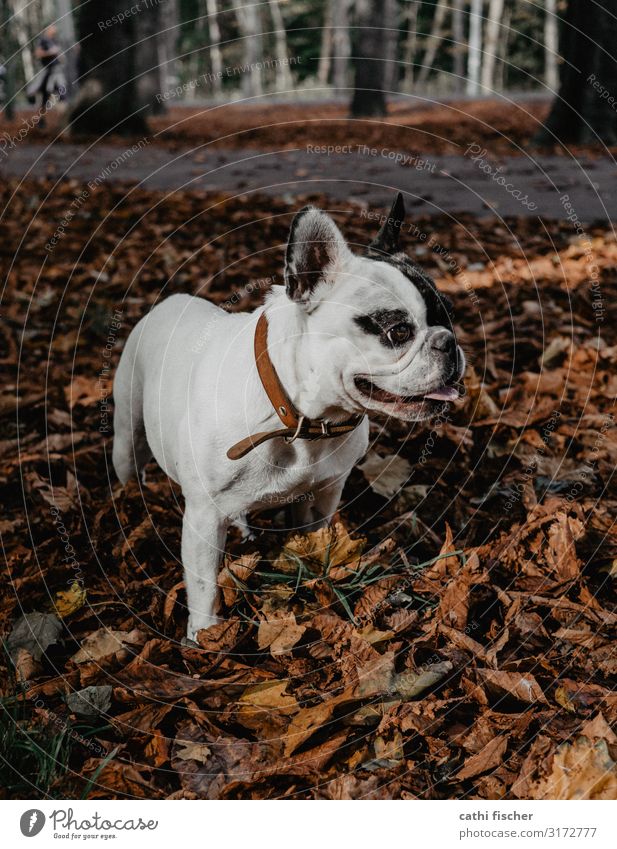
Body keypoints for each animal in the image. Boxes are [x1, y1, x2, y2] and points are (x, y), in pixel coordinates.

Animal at [113, 195, 464, 640]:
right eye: (397, 331)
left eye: (449, 317)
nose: (449, 342)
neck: (301, 418)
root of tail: (169, 302)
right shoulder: (203, 516)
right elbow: (204, 584)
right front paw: (205, 636)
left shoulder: (327, 490)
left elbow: (315, 535)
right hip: (126, 437)